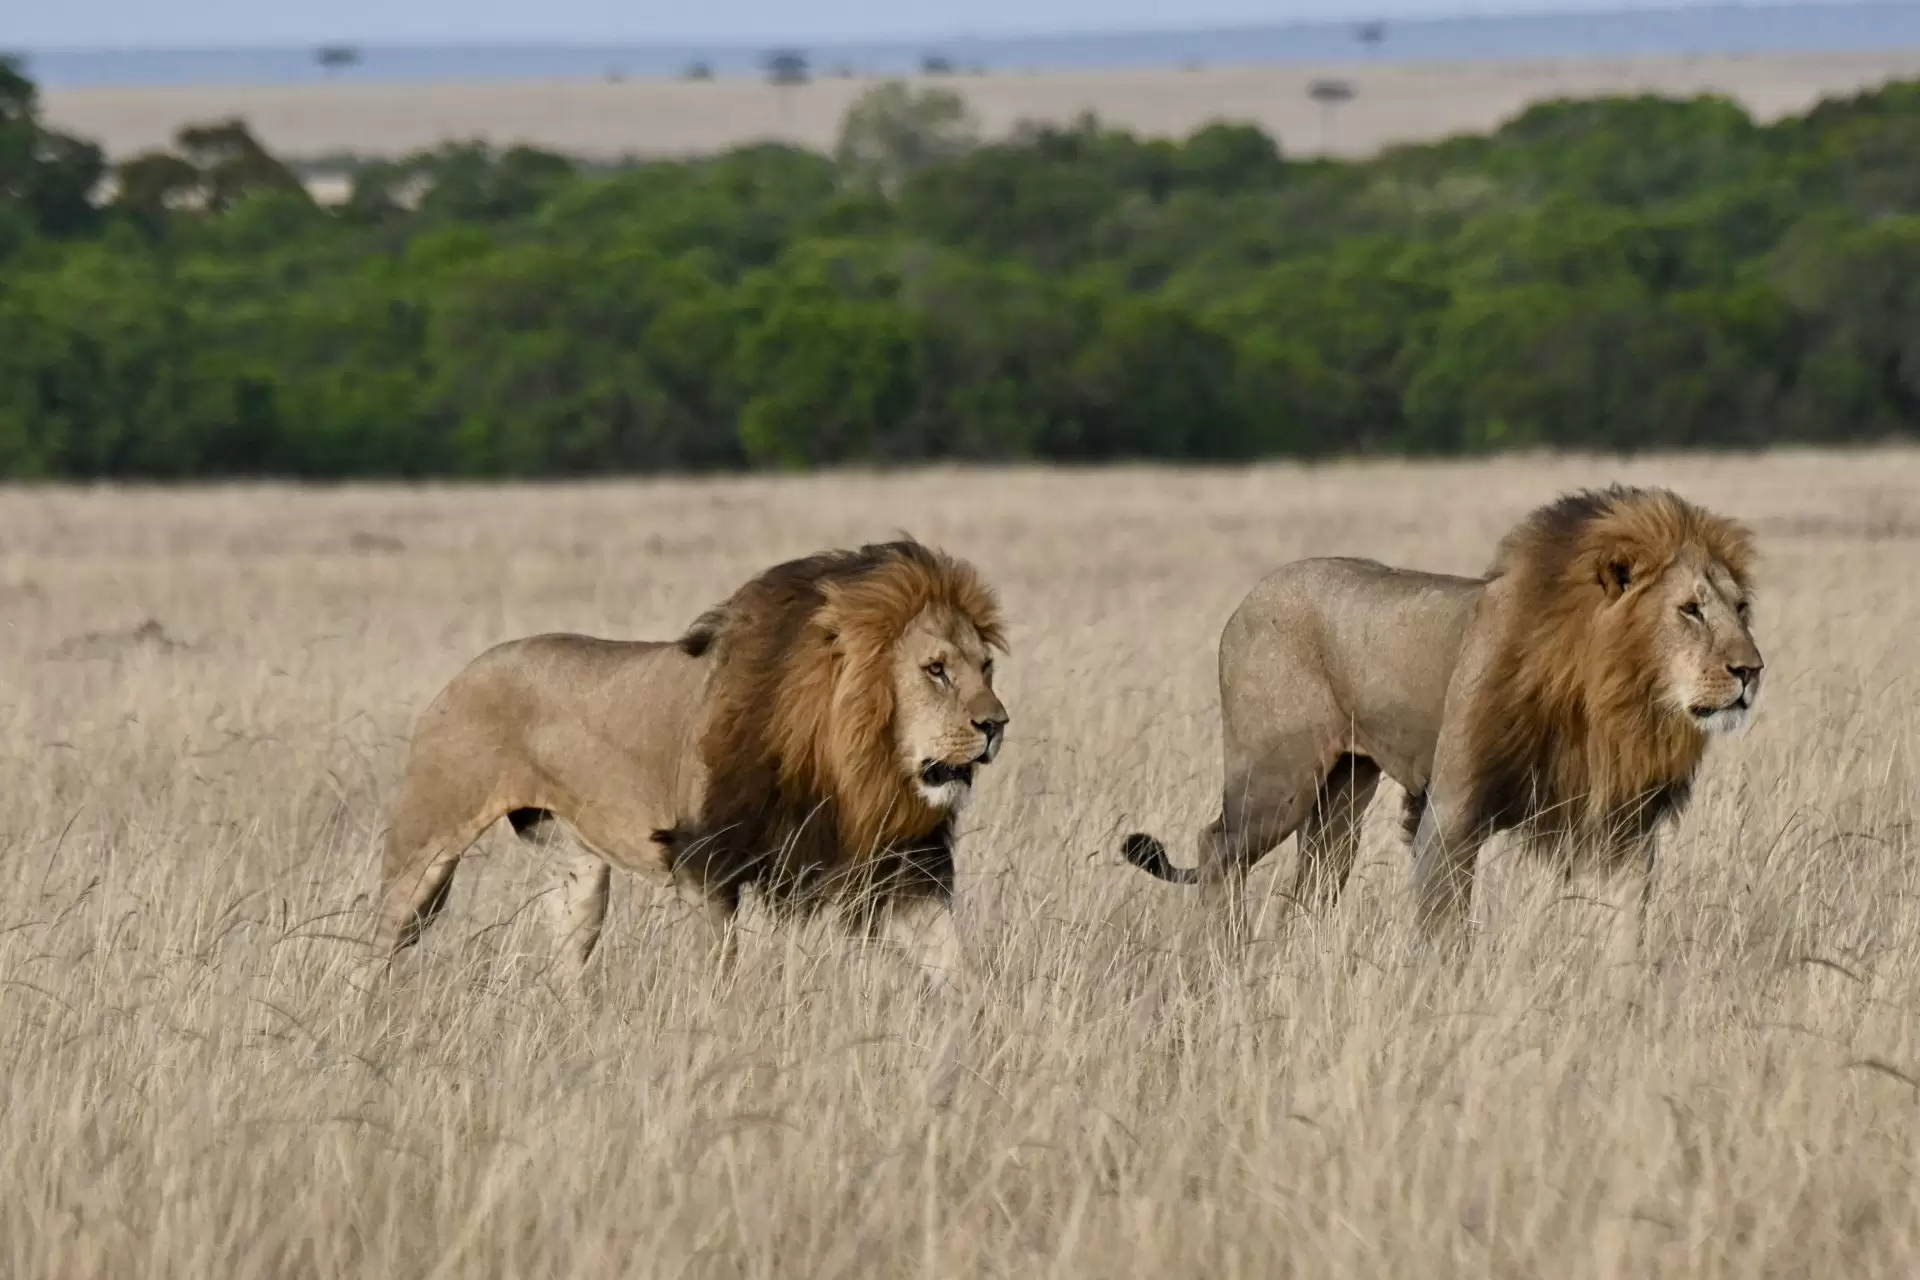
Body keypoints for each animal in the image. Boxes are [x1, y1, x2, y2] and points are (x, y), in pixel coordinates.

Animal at [375, 538, 1010, 989]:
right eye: (935, 670)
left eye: (986, 668)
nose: (996, 725)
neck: (854, 766)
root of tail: (462, 674)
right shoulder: (704, 862)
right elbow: (719, 973)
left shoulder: (904, 869)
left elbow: (956, 967)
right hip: (425, 847)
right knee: (379, 938)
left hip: (577, 867)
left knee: (568, 956)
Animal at [1120, 485, 1763, 953]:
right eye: (1690, 610)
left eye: (1741, 608)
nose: (1751, 671)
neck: (1610, 700)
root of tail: (1248, 599)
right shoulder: (1450, 814)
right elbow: (1443, 935)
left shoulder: (1625, 825)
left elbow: (1626, 929)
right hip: (1277, 782)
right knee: (1217, 847)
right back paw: (1220, 953)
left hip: (1342, 794)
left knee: (1312, 880)